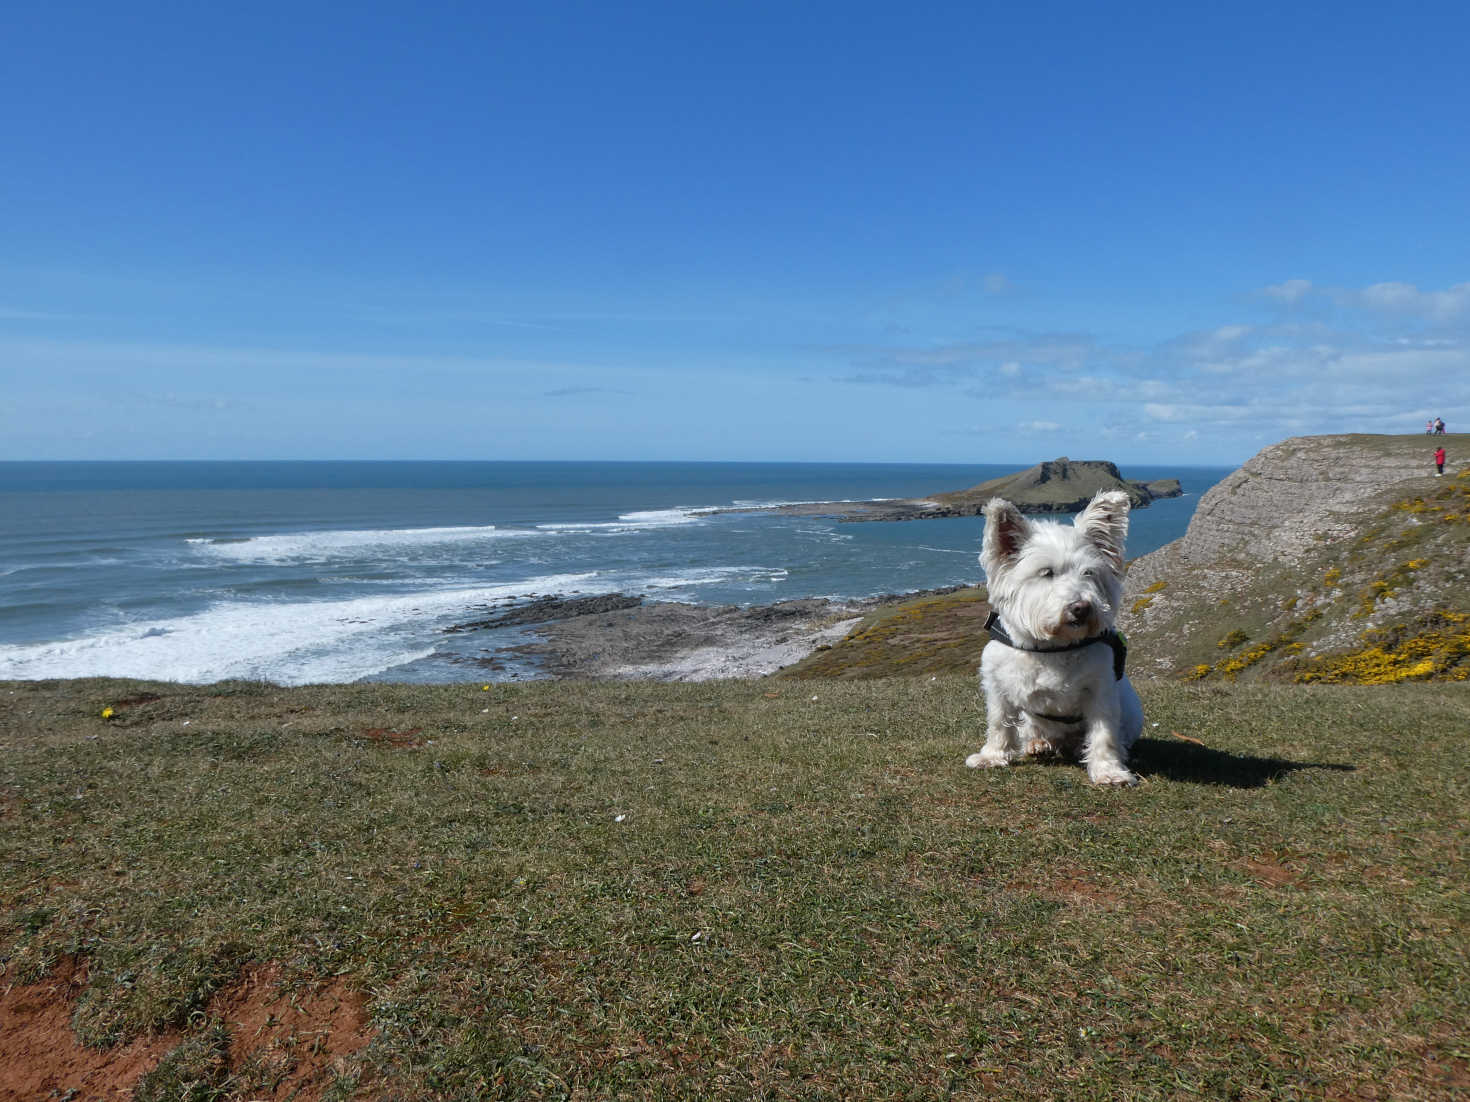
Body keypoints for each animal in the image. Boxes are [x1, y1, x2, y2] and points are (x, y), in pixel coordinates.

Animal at [964, 490, 1146, 787]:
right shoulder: (998, 686)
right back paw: (1038, 744)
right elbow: (999, 723)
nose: (1082, 608)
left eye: (1089, 572)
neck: (1051, 648)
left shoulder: (1101, 691)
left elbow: (1104, 733)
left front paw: (1108, 770)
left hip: (1131, 709)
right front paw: (992, 756)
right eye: (1046, 572)